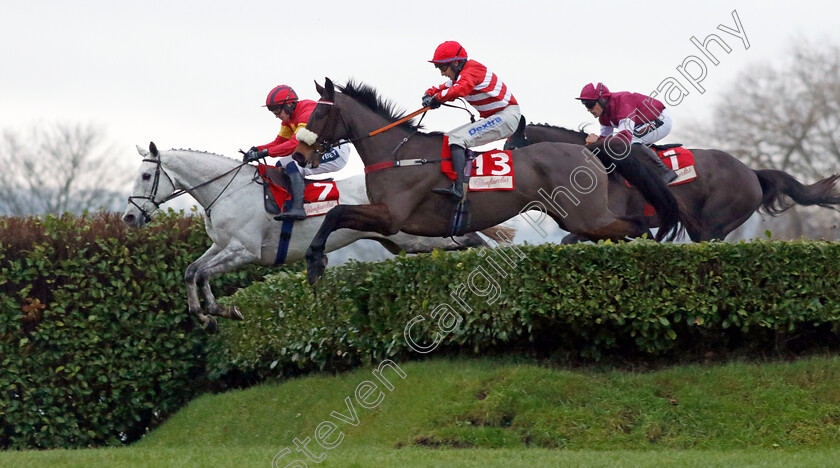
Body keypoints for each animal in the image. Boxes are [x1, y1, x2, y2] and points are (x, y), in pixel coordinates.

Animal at [121, 144, 502, 330]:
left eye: (146, 176)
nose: (128, 217)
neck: (225, 189)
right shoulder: (221, 246)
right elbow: (191, 271)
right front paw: (203, 316)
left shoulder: (246, 252)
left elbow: (201, 274)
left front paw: (221, 311)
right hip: (405, 243)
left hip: (418, 238)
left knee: (471, 241)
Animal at [296, 79, 696, 284]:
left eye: (317, 114)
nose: (300, 156)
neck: (397, 152)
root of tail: (590, 151)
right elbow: (336, 216)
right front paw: (315, 261)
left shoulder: (391, 217)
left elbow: (335, 214)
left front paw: (314, 262)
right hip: (577, 219)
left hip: (588, 216)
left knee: (638, 225)